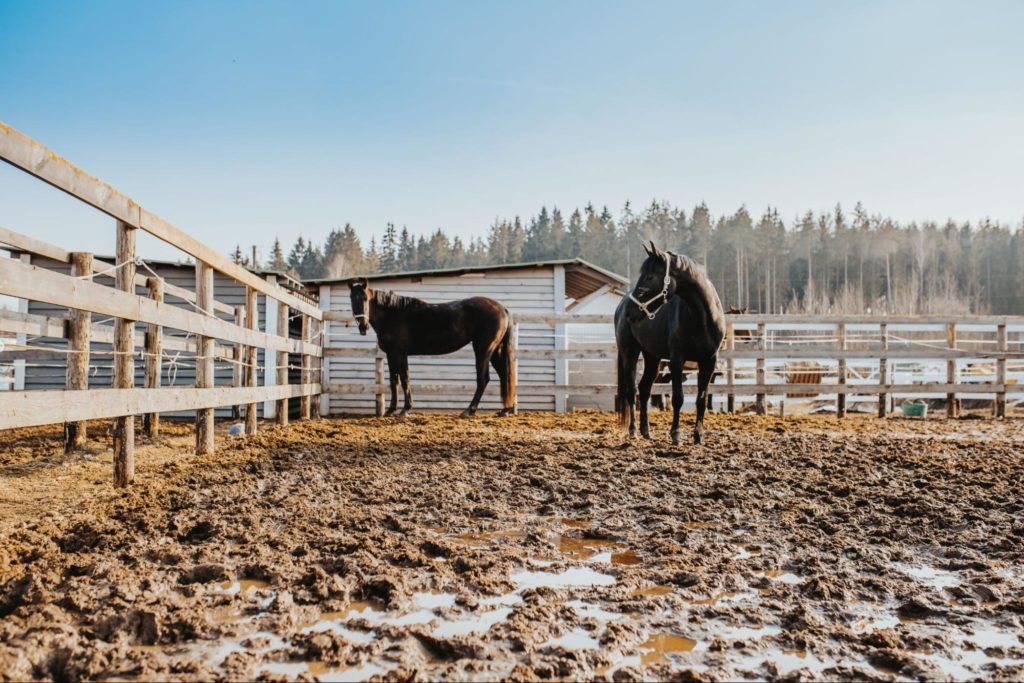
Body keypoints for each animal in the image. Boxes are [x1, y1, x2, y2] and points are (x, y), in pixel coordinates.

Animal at [350, 278, 516, 417]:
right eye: (352, 299)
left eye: (365, 299)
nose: (363, 327)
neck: (392, 315)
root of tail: (502, 308)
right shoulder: (391, 355)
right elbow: (394, 381)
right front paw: (391, 410)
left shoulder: (399, 354)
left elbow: (404, 379)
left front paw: (405, 409)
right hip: (494, 351)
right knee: (504, 375)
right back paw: (505, 410)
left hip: (483, 350)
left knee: (483, 379)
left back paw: (469, 410)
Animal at [614, 242, 729, 446]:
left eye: (650, 276)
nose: (631, 311)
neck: (701, 318)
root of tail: (620, 306)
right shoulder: (677, 360)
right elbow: (678, 398)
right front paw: (676, 434)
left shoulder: (709, 361)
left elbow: (701, 398)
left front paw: (698, 436)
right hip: (630, 354)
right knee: (632, 391)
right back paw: (633, 431)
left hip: (653, 358)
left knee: (644, 389)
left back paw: (646, 431)